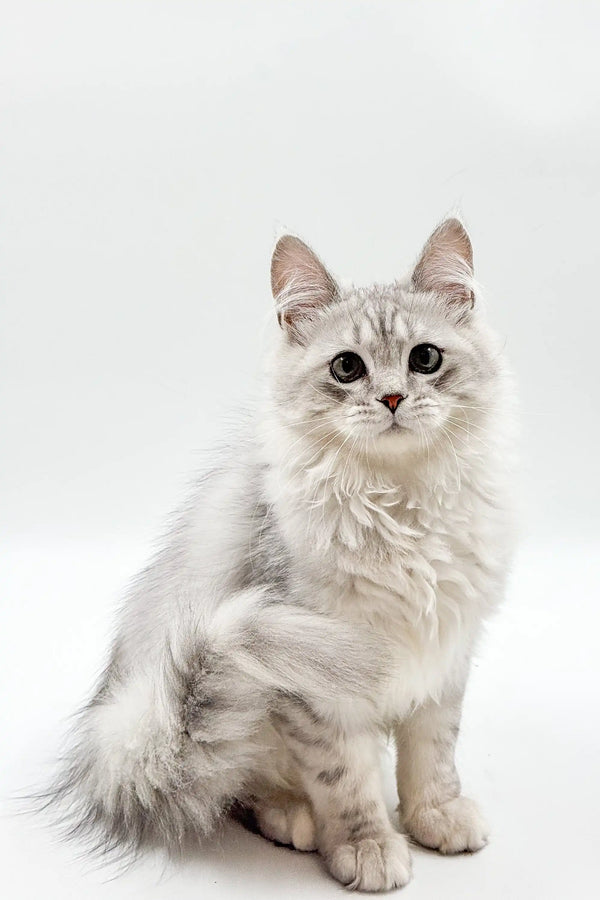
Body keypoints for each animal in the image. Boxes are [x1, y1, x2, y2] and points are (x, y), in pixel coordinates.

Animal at [49, 220, 512, 892]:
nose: (393, 399)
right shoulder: (313, 679)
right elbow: (346, 780)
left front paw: (436, 816)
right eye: (347, 367)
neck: (399, 506)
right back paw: (293, 818)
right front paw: (368, 847)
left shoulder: (445, 653)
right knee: (236, 788)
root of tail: (112, 740)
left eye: (424, 359)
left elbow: (433, 756)